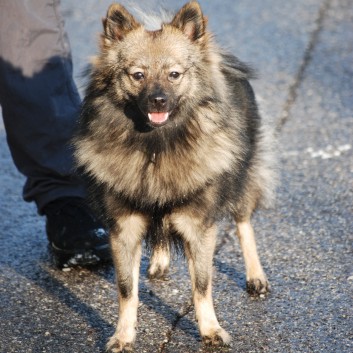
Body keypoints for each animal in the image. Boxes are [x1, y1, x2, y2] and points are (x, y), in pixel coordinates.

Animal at [73, 1, 276, 350]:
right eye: (138, 75)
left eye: (174, 74)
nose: (158, 100)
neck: (156, 146)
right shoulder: (124, 226)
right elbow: (126, 289)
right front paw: (123, 335)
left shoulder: (198, 225)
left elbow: (202, 285)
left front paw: (211, 330)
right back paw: (159, 262)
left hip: (242, 181)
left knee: (243, 223)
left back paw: (255, 276)